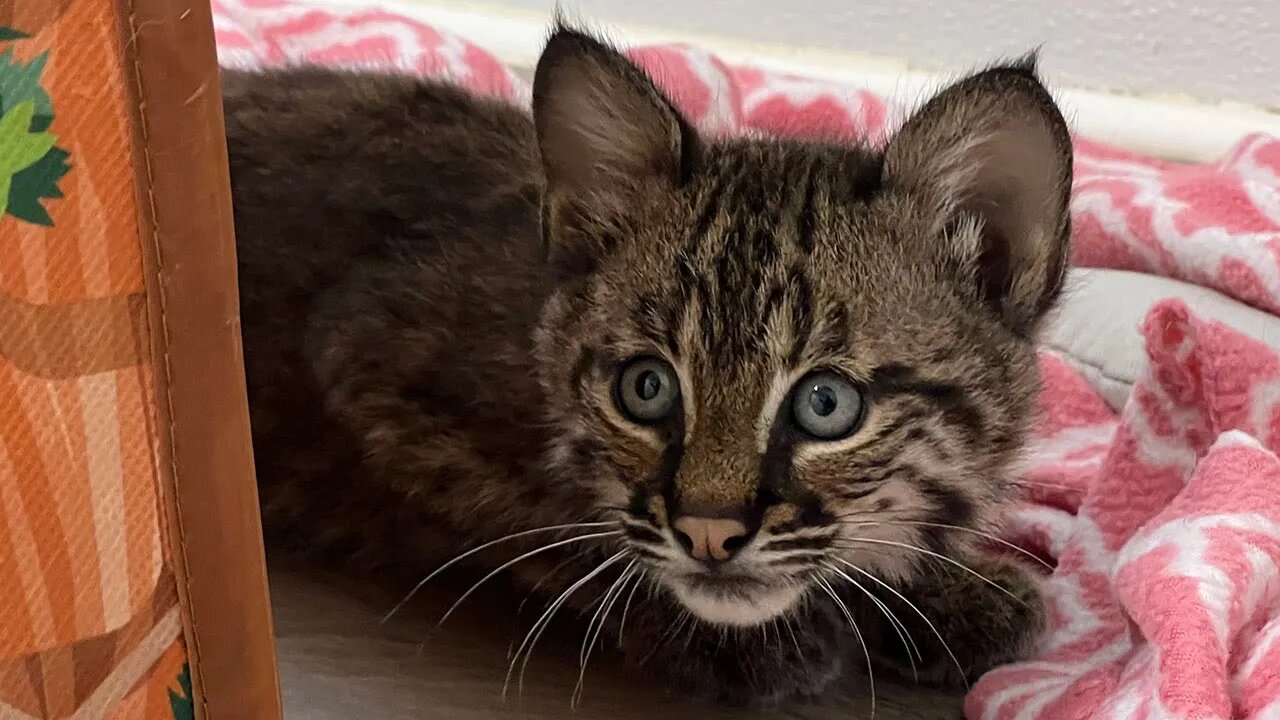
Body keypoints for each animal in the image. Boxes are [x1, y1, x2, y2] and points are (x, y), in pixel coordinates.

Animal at [227, 25, 1070, 702]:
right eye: (647, 389)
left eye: (826, 405)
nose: (708, 535)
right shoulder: (359, 352)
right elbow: (553, 523)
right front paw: (733, 635)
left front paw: (937, 590)